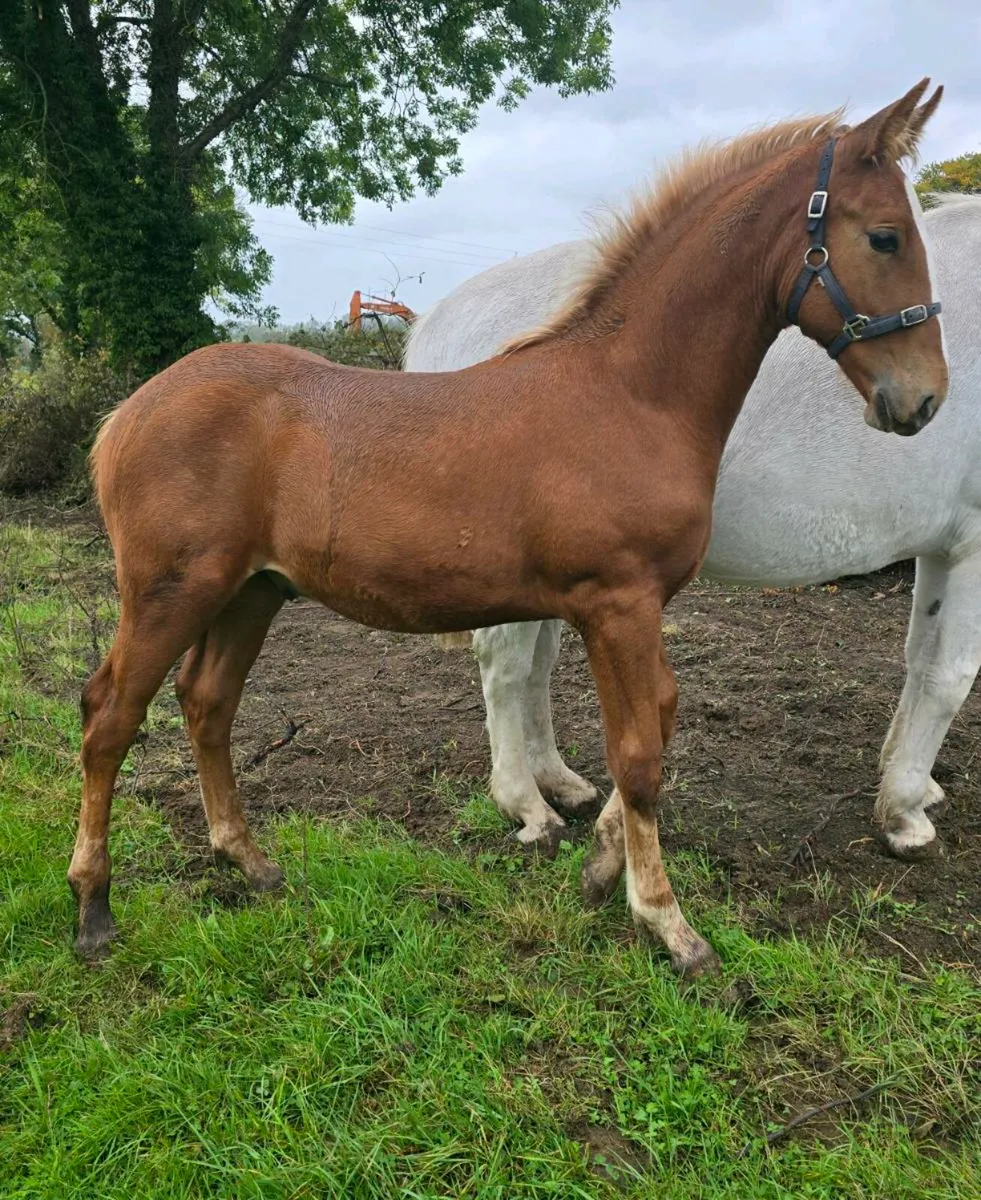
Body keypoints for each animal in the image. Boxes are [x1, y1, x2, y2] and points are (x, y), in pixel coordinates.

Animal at [405, 191, 981, 877]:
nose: (919, 399)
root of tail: (443, 314)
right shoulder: (974, 544)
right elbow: (950, 674)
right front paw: (905, 813)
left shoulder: (941, 546)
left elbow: (920, 657)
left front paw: (910, 781)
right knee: (505, 664)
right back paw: (525, 803)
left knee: (537, 662)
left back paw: (557, 780)